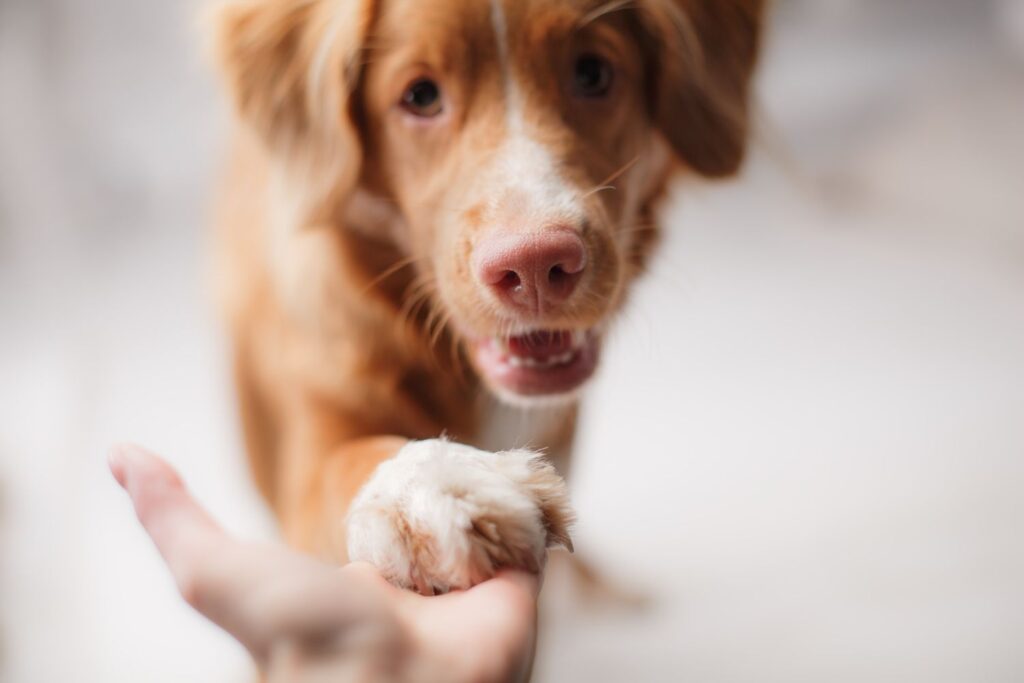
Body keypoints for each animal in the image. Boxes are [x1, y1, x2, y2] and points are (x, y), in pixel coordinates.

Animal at [211, 0, 765, 593]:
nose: (534, 264)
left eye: (593, 73)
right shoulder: (310, 444)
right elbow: (346, 462)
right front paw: (436, 485)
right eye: (421, 96)